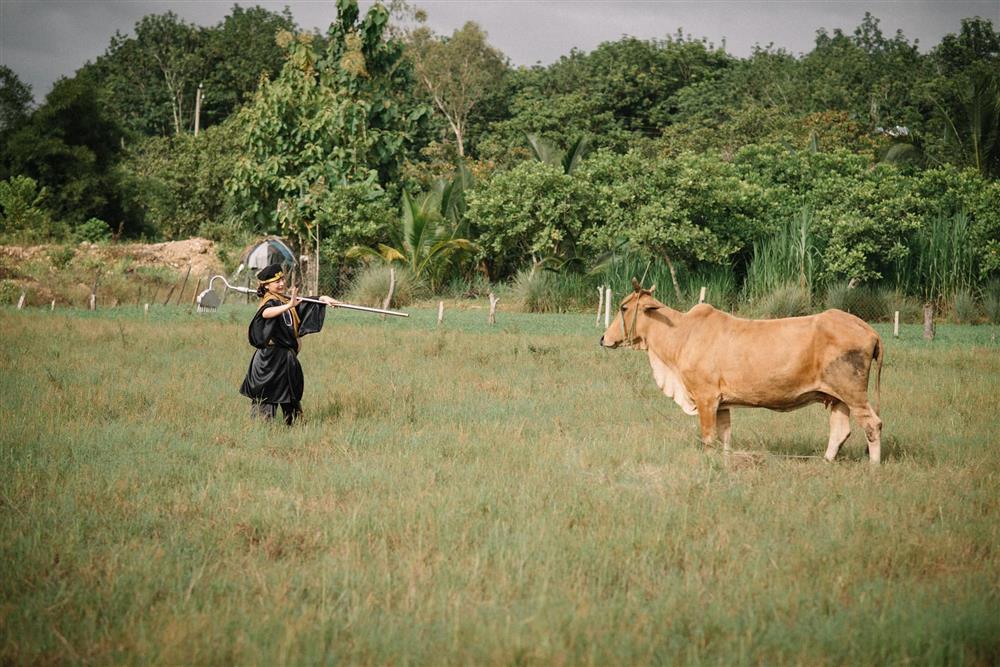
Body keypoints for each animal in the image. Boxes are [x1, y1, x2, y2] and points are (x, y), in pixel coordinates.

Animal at [600, 282, 884, 464]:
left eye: (623, 307)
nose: (603, 338)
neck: (682, 334)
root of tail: (868, 329)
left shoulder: (706, 398)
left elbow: (708, 437)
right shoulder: (723, 403)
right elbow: (725, 437)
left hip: (854, 393)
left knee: (872, 424)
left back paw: (873, 466)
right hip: (837, 397)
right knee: (840, 430)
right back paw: (826, 461)